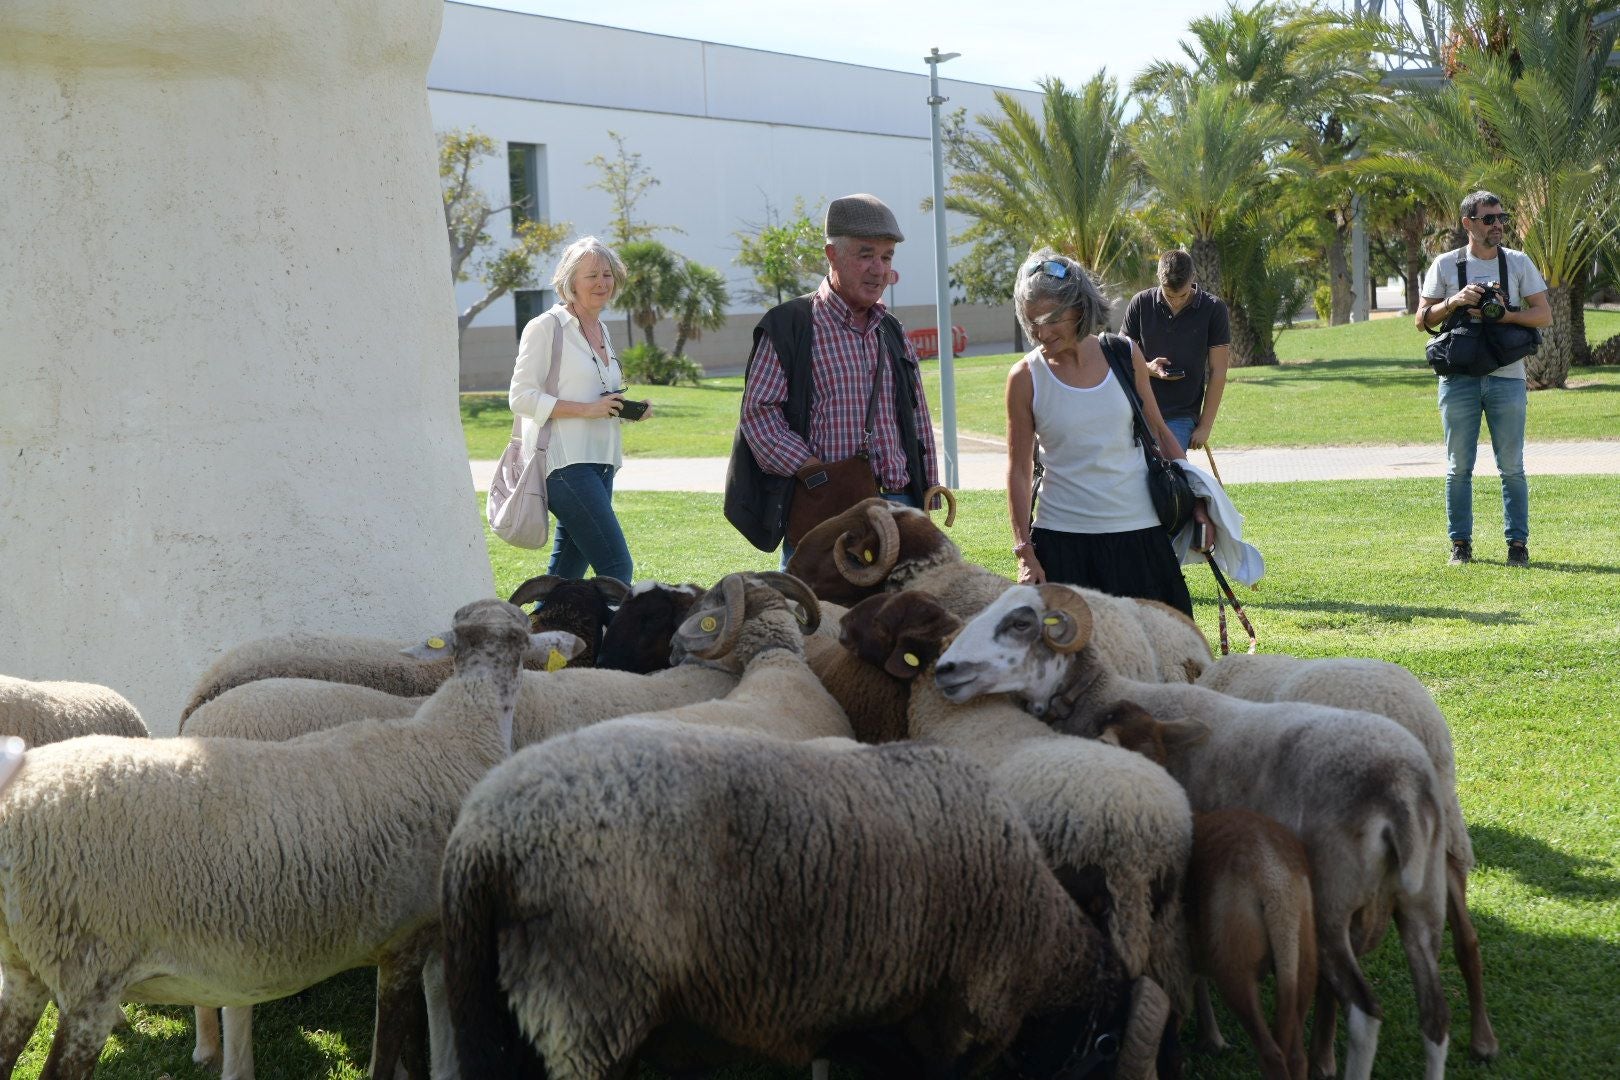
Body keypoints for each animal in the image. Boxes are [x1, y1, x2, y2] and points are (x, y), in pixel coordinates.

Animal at [936, 584, 1455, 1080]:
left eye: (1021, 623)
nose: (944, 669)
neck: (1098, 696)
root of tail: (1402, 785)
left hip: (1333, 901)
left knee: (1366, 1012)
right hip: (1423, 901)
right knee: (1435, 1015)